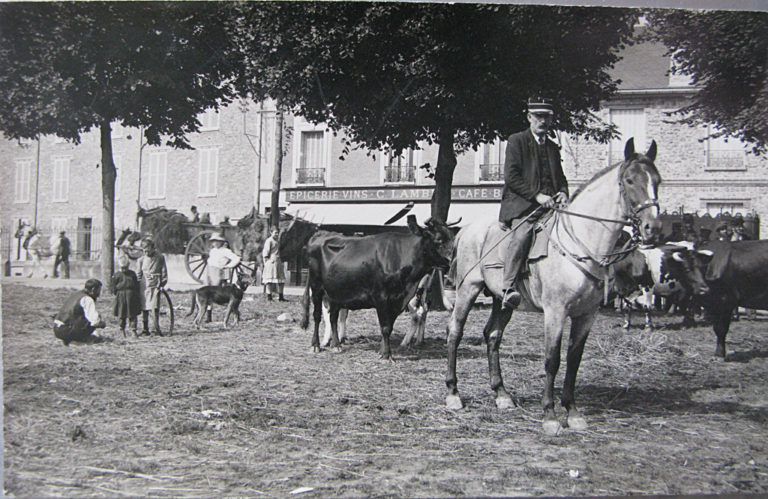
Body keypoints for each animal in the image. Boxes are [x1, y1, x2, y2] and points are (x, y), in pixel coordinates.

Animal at [300, 217, 456, 362]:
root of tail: (321, 233)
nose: (452, 261)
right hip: (317, 286)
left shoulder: (398, 300)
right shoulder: (381, 297)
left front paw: (382, 351)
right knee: (317, 315)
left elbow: (389, 327)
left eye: (452, 237)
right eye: (439, 240)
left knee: (333, 316)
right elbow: (385, 327)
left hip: (336, 291)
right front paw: (386, 355)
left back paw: (336, 345)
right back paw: (316, 345)